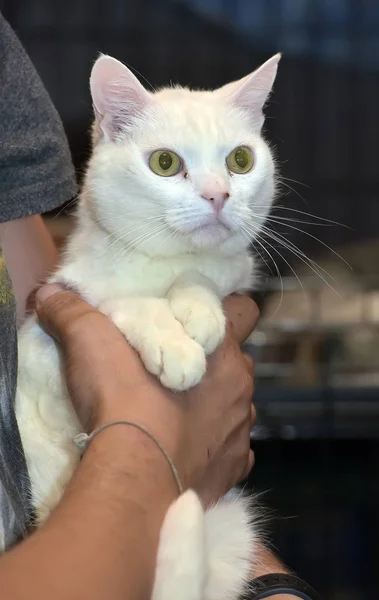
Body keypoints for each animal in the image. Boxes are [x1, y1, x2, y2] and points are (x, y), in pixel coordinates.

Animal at [14, 54, 280, 596]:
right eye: (165, 163)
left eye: (241, 160)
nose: (218, 195)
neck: (163, 263)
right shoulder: (42, 332)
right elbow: (124, 301)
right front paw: (173, 344)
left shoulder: (234, 273)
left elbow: (206, 275)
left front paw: (198, 310)